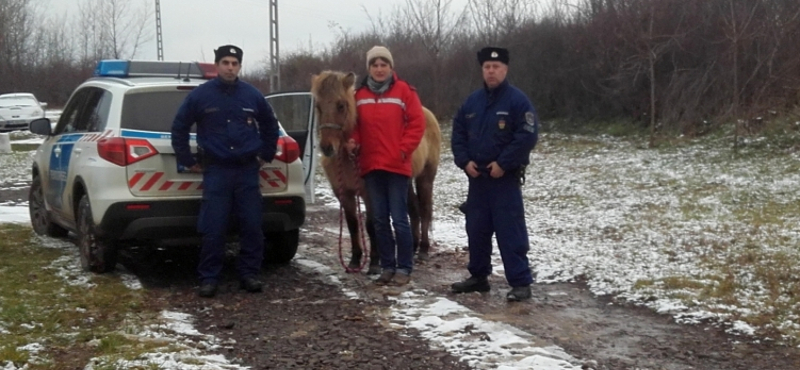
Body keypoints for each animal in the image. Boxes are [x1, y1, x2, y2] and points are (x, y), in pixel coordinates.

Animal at [310, 70, 440, 274]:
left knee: (425, 209)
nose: (327, 147)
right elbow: (352, 223)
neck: (349, 156)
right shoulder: (343, 193)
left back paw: (423, 250)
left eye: (341, 105)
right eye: (318, 106)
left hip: (425, 177)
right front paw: (355, 260)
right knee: (413, 209)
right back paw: (412, 248)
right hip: (405, 182)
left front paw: (374, 262)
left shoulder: (369, 193)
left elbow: (371, 225)